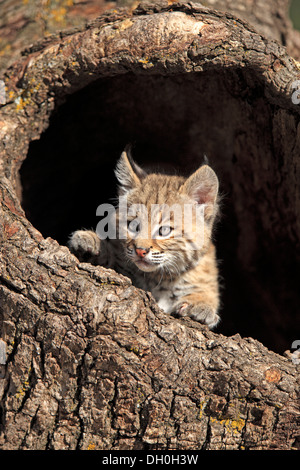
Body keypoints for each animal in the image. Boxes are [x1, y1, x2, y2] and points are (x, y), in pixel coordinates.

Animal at [69, 149, 221, 328]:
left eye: (164, 230)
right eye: (133, 225)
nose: (140, 251)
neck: (158, 277)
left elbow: (204, 291)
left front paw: (200, 305)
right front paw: (91, 244)